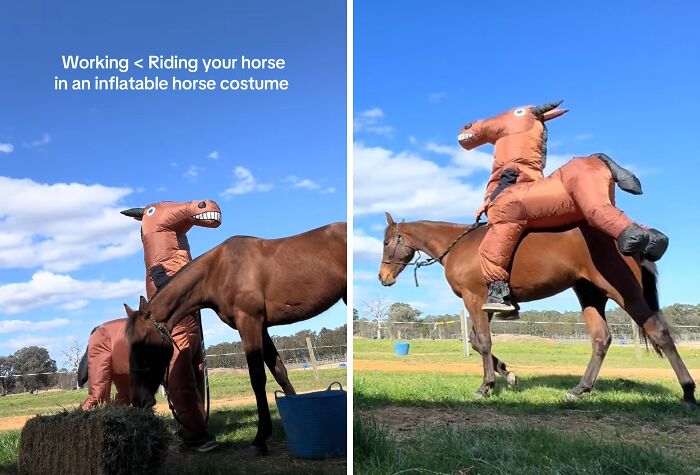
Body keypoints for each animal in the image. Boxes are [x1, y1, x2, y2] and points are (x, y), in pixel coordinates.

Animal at [124, 222, 347, 455]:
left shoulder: (249, 322)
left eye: (143, 343)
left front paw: (260, 439)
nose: (137, 399)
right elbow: (280, 372)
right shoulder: (262, 327)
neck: (218, 271)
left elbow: (257, 377)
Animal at [378, 213, 697, 407]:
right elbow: (478, 342)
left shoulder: (474, 299)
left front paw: (486, 386)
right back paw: (580, 389)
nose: (383, 277)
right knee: (601, 339)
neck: (460, 246)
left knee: (659, 333)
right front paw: (507, 375)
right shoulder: (487, 304)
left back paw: (688, 390)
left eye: (385, 242)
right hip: (590, 295)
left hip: (625, 294)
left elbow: (483, 342)